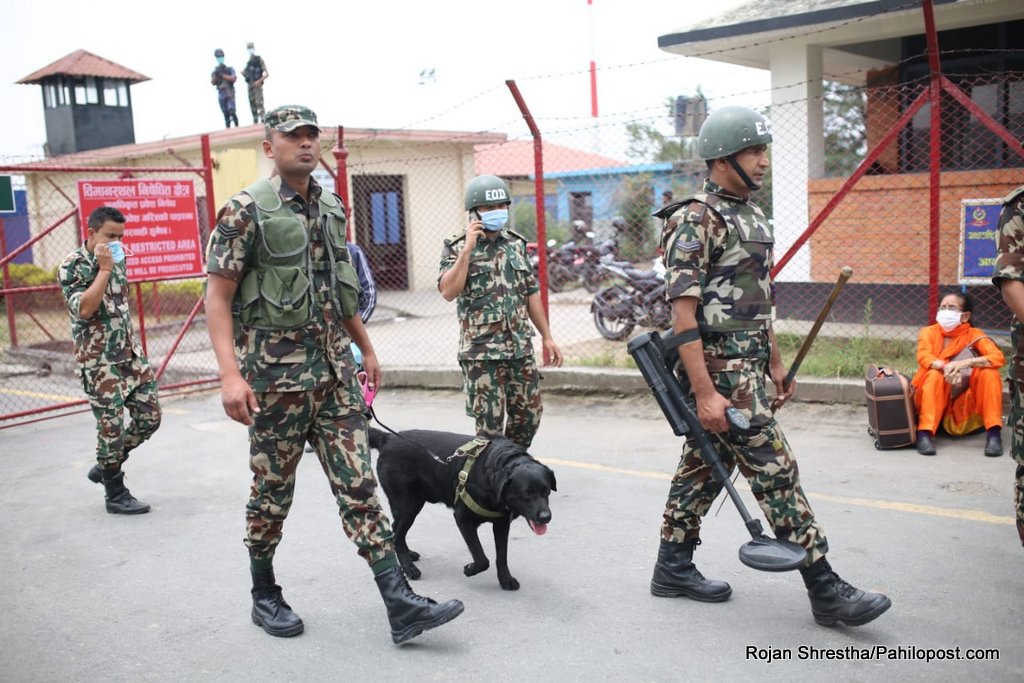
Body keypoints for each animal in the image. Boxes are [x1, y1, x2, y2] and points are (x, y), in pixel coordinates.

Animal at [368, 430, 557, 589]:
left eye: (547, 491)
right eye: (527, 493)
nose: (546, 517)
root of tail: (388, 438)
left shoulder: (502, 523)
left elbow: (501, 556)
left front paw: (506, 580)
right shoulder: (462, 519)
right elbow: (482, 558)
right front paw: (470, 569)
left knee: (396, 531)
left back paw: (409, 555)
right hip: (408, 505)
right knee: (397, 536)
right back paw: (409, 568)